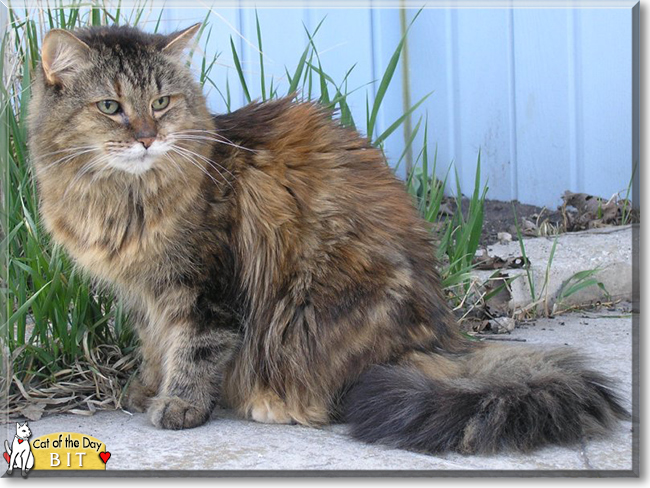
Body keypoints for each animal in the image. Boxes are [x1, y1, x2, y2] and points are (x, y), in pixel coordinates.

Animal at [26, 24, 628, 456]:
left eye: (162, 103)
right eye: (111, 107)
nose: (149, 138)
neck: (122, 197)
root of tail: (444, 339)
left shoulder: (204, 288)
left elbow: (193, 350)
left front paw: (179, 406)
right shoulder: (145, 294)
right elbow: (156, 346)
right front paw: (147, 390)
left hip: (315, 309)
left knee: (340, 392)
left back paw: (275, 403)